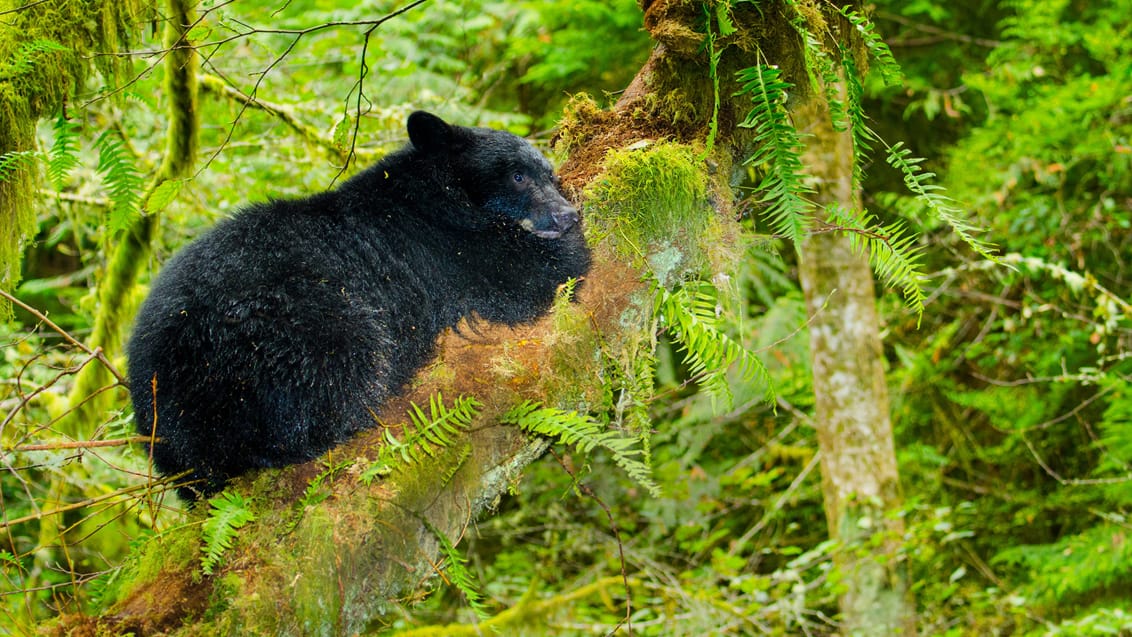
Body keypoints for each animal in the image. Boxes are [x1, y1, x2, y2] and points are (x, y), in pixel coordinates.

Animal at [127, 113, 593, 504]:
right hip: (295, 328)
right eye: (517, 175)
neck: (431, 194)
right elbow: (538, 275)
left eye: (549, 175)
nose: (566, 215)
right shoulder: (448, 248)